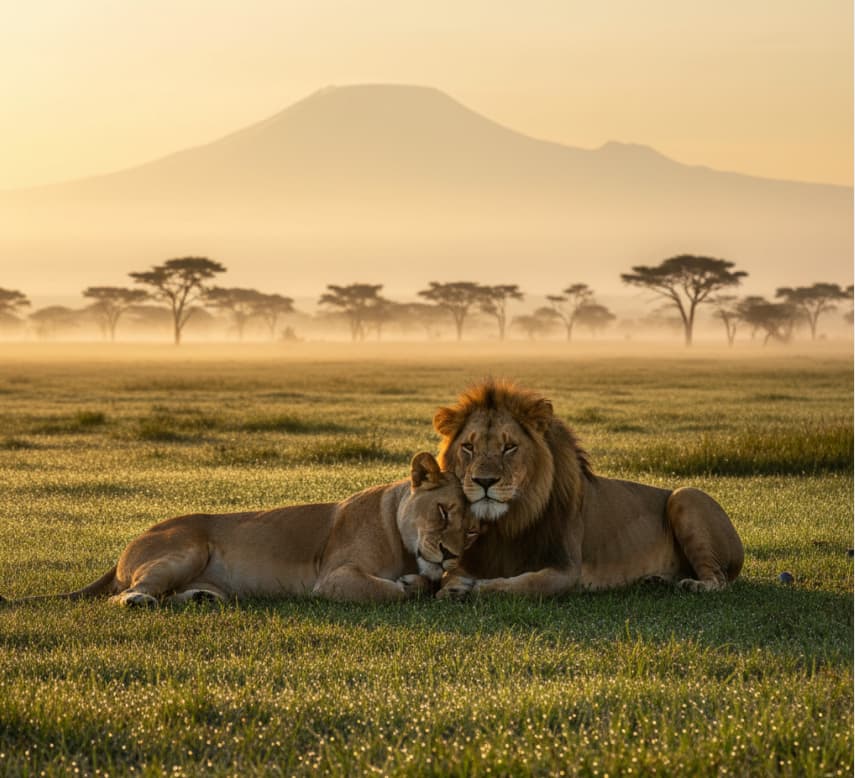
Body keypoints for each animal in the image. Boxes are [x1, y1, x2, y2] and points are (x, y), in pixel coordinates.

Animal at [2, 452, 479, 606]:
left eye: (473, 530)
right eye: (442, 512)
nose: (452, 554)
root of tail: (127, 546)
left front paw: (435, 581)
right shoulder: (334, 579)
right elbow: (393, 591)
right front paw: (414, 583)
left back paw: (199, 600)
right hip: (185, 550)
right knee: (123, 595)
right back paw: (138, 601)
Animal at [433, 379, 744, 597]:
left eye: (509, 447)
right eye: (468, 447)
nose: (484, 482)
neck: (507, 521)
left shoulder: (566, 569)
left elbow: (524, 584)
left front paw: (476, 588)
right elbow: (450, 573)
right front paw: (455, 585)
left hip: (686, 496)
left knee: (719, 579)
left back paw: (694, 585)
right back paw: (655, 580)